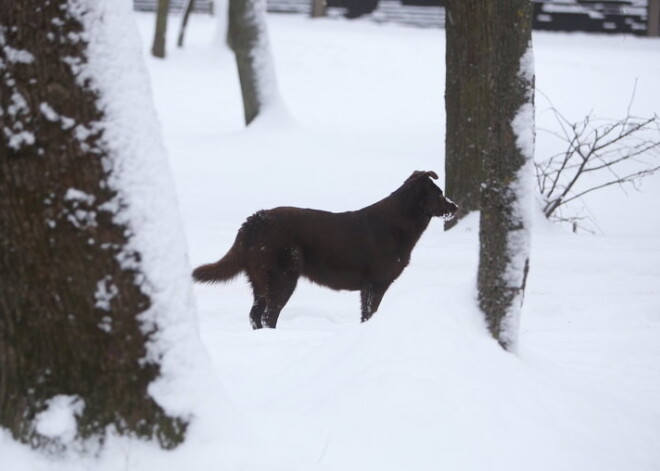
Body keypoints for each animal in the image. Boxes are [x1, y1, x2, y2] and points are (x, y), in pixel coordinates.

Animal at [193, 171, 456, 330]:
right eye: (439, 194)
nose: (456, 206)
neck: (398, 223)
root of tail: (253, 221)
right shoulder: (375, 284)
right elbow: (370, 313)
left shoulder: (367, 288)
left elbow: (365, 315)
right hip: (282, 278)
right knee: (268, 316)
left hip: (259, 280)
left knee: (254, 314)